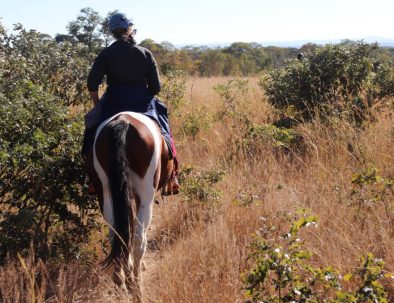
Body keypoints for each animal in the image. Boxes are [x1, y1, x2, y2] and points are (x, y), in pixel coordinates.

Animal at [87, 111, 175, 302]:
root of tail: (122, 123)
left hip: (107, 192)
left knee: (117, 235)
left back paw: (121, 281)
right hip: (145, 194)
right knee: (138, 239)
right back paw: (136, 288)